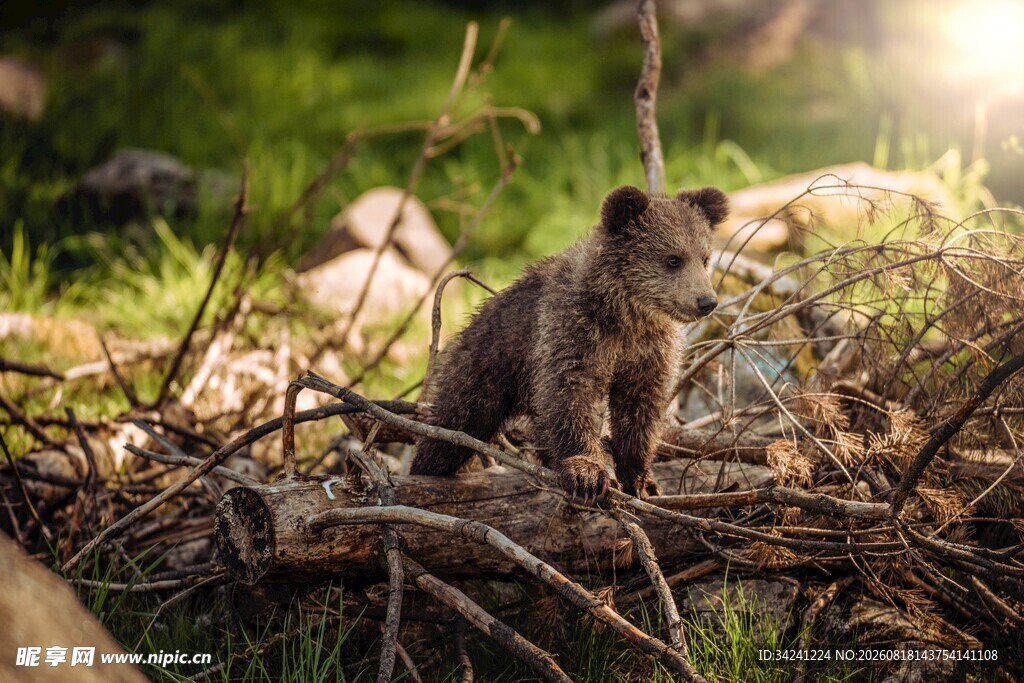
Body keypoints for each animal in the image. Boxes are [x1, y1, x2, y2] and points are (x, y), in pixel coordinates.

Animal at [411, 184, 728, 499]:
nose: (706, 301)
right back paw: (426, 467)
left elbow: (640, 408)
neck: (626, 315)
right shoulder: (573, 330)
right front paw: (587, 474)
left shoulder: (648, 350)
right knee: (455, 422)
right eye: (673, 259)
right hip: (486, 365)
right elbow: (571, 395)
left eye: (704, 257)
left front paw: (642, 481)